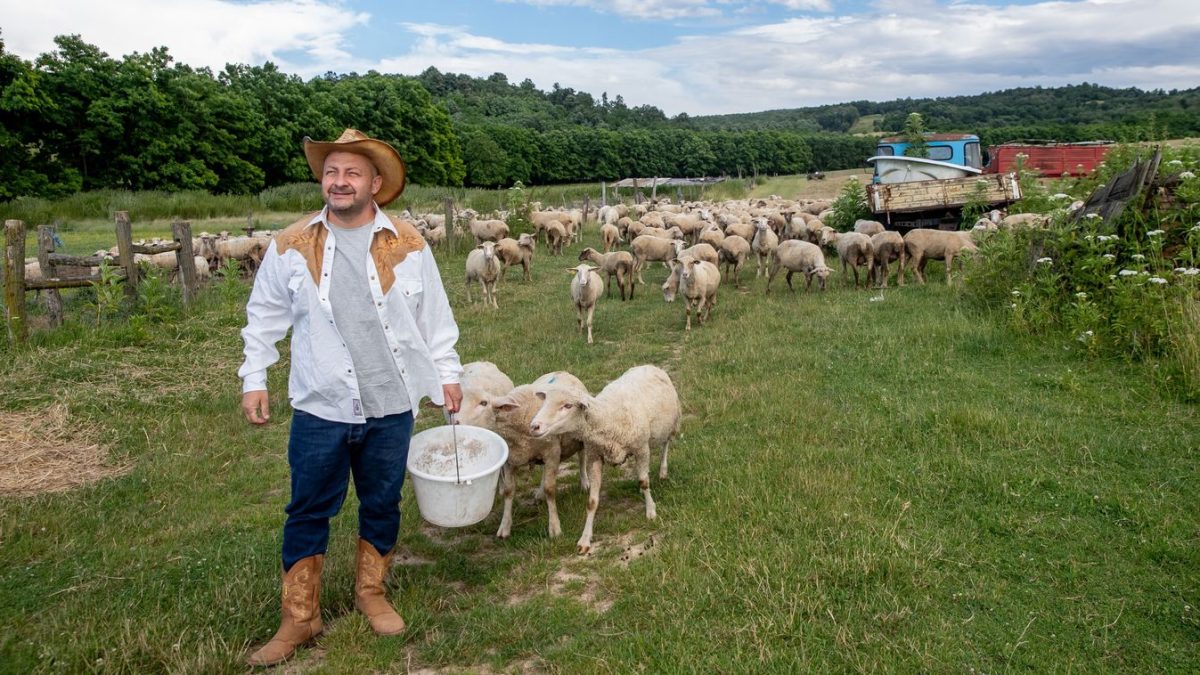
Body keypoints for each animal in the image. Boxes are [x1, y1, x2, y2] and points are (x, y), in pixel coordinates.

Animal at [530, 362, 681, 552]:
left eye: (568, 406)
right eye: (544, 403)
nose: (534, 426)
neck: (607, 417)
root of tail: (648, 365)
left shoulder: (641, 448)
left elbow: (644, 482)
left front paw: (651, 511)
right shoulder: (595, 457)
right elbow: (592, 502)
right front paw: (585, 539)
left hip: (669, 424)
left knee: (665, 445)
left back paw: (662, 471)